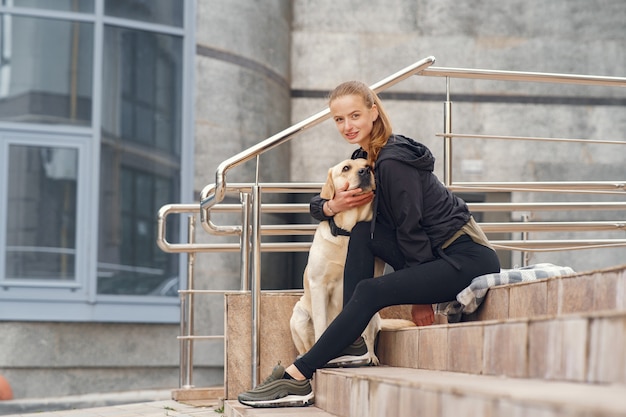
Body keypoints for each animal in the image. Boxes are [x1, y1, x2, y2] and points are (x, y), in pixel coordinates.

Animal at [288, 157, 414, 364]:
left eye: (369, 166)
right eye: (346, 168)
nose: (365, 171)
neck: (348, 232)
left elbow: (365, 329)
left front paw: (368, 356)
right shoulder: (318, 285)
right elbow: (322, 325)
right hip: (299, 315)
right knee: (307, 343)